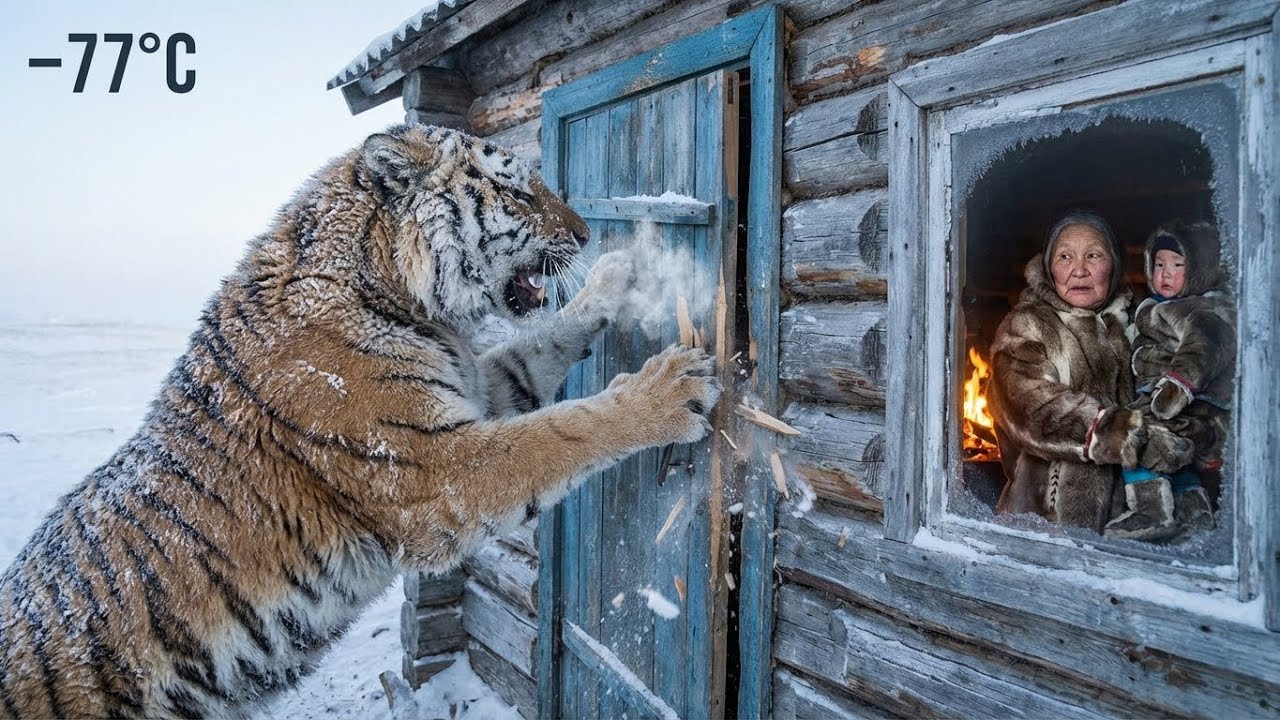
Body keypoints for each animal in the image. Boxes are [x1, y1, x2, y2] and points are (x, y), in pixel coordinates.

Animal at [0, 124, 721, 719]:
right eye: (516, 190)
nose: (585, 234)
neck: (407, 297)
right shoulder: (435, 471)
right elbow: (561, 432)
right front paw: (667, 391)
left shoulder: (475, 391)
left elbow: (539, 345)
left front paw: (614, 277)